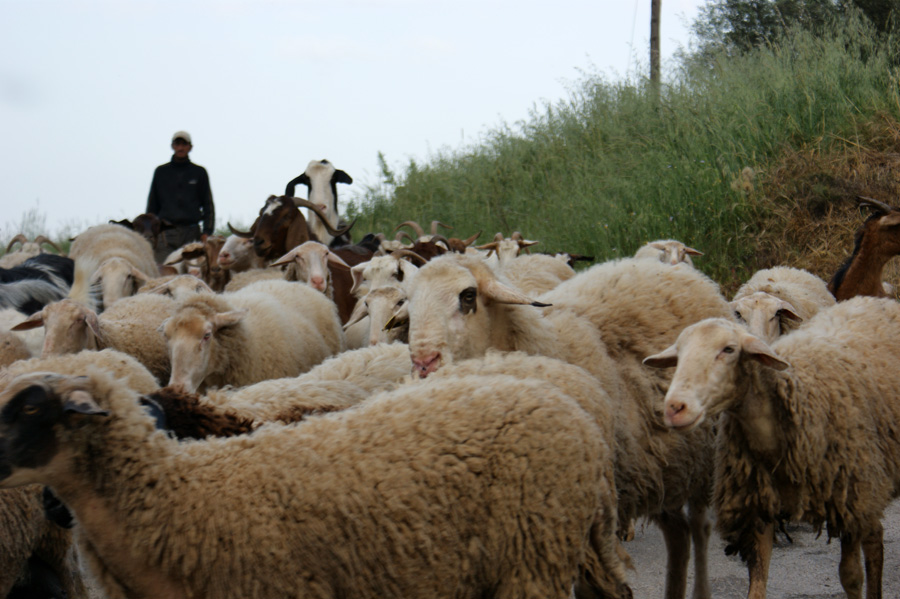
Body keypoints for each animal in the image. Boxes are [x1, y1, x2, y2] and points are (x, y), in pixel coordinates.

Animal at [644, 298, 900, 599]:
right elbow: (757, 587)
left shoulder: (848, 499)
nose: (675, 408)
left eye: (729, 349)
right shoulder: (758, 508)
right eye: (679, 353)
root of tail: (876, 300)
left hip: (866, 487)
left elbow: (850, 576)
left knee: (872, 542)